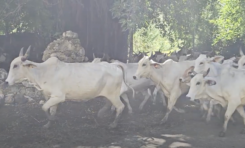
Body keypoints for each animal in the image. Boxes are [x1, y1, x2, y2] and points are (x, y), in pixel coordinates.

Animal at [4, 46, 134, 129]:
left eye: (16, 65)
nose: (6, 82)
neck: (42, 72)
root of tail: (115, 65)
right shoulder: (52, 97)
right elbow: (51, 110)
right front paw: (49, 124)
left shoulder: (58, 96)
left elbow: (44, 108)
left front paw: (52, 120)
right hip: (109, 94)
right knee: (109, 104)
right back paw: (101, 114)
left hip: (113, 95)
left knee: (120, 107)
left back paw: (113, 124)